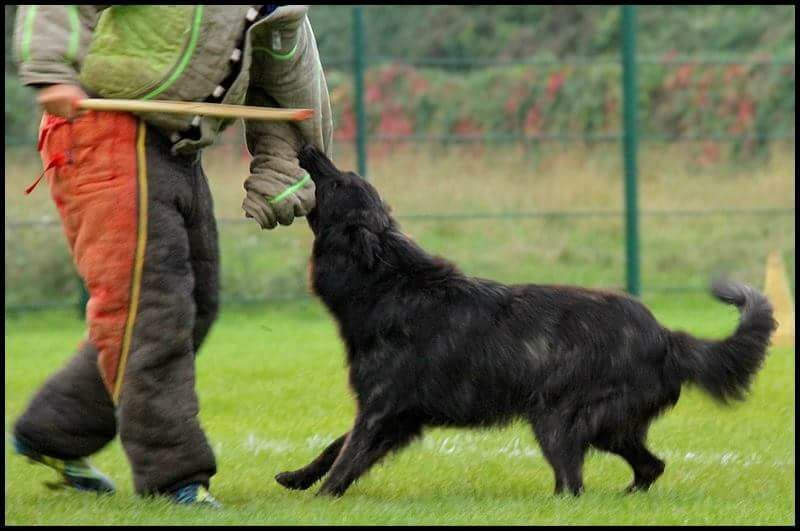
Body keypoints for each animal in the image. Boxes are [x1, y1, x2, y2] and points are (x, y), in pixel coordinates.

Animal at [276, 145, 776, 498]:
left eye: (337, 183)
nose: (309, 150)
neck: (386, 282)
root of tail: (667, 338)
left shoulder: (381, 410)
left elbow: (346, 458)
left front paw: (320, 499)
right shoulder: (395, 413)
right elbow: (333, 448)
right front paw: (298, 477)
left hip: (556, 419)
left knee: (574, 485)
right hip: (610, 428)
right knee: (649, 466)